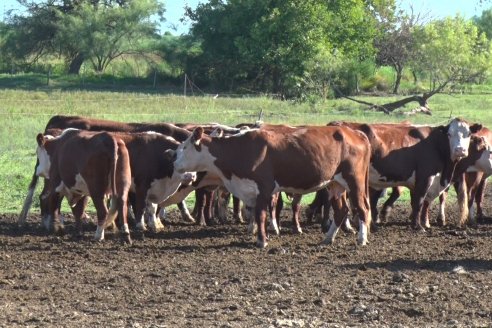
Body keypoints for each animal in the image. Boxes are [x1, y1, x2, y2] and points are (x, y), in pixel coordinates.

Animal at [171, 124, 370, 247]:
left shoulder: (264, 188)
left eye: (184, 147)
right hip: (335, 184)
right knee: (341, 210)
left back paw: (361, 239)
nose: (173, 161)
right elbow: (256, 214)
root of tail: (355, 133)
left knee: (362, 208)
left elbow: (261, 215)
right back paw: (328, 238)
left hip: (355, 182)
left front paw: (262, 241)